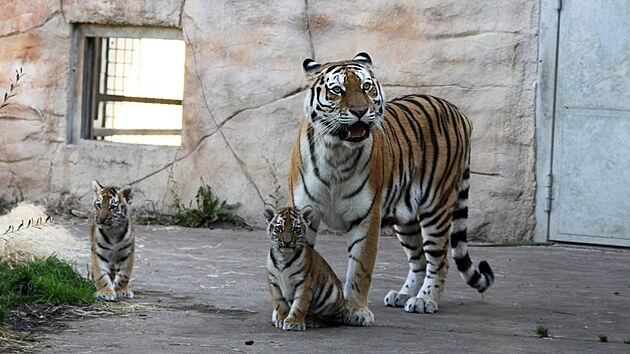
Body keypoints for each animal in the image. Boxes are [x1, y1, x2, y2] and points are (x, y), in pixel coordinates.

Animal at [288, 52, 496, 326]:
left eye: (366, 86)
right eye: (337, 90)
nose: (360, 111)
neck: (336, 152)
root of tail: (459, 112)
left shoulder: (366, 216)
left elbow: (360, 269)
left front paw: (357, 311)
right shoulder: (305, 213)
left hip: (436, 208)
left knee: (438, 260)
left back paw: (424, 300)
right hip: (406, 219)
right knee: (419, 259)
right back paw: (403, 295)